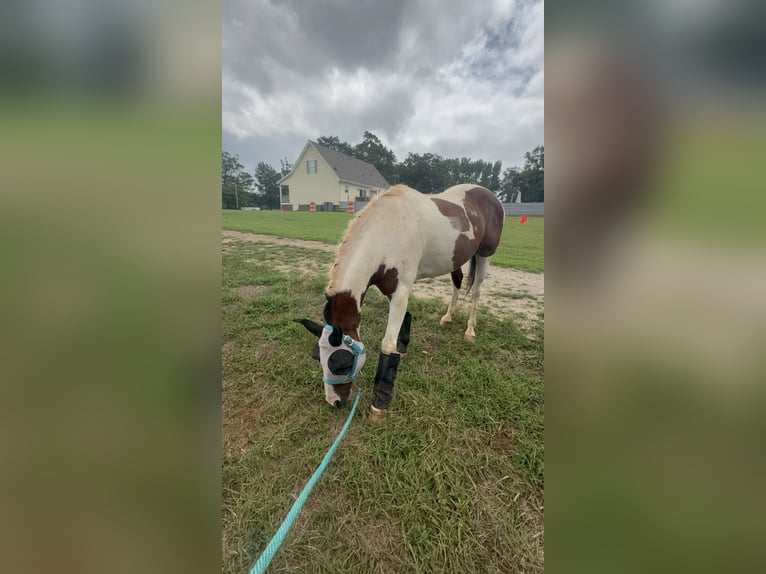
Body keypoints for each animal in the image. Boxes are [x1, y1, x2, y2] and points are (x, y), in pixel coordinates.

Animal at [296, 183, 505, 420]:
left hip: (484, 256)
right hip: (456, 259)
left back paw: (470, 330)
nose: (334, 401)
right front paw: (402, 348)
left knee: (477, 292)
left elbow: (387, 344)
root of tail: (488, 195)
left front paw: (380, 404)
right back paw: (448, 317)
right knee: (457, 284)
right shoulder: (394, 289)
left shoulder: (401, 290)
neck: (389, 230)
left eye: (341, 363)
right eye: (317, 357)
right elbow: (404, 320)